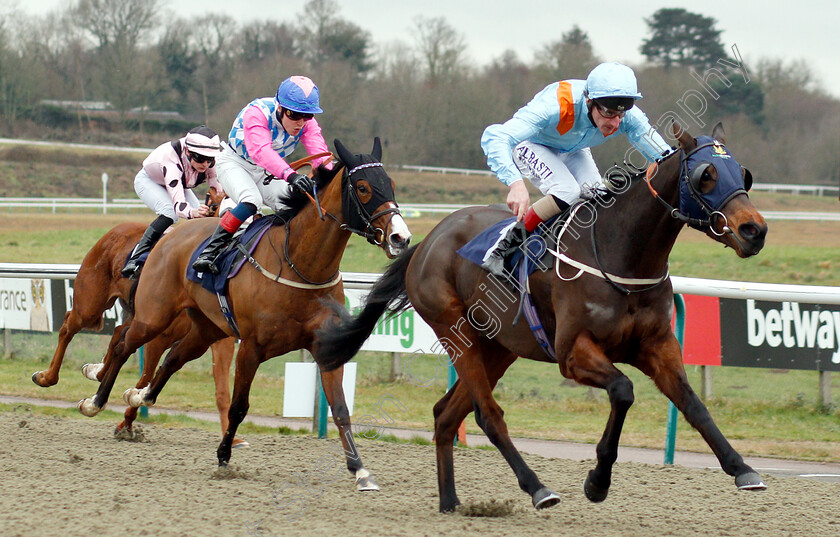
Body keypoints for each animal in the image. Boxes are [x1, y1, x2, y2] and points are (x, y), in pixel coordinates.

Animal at [34, 186, 244, 446]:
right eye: (221, 206)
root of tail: (116, 230)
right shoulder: (159, 336)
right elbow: (145, 377)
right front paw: (125, 421)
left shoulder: (216, 338)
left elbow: (222, 390)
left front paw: (232, 439)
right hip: (91, 303)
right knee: (69, 325)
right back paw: (47, 376)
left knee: (117, 333)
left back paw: (96, 370)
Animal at [77, 138, 412, 490]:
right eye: (362, 187)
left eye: (389, 184)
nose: (400, 237)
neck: (301, 265)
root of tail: (170, 237)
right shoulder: (251, 348)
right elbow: (239, 406)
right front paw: (224, 456)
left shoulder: (324, 348)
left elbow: (341, 409)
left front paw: (360, 470)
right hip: (154, 316)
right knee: (123, 343)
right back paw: (94, 399)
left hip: (206, 328)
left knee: (172, 358)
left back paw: (137, 395)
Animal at [318, 122, 772, 510]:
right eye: (707, 175)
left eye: (743, 175)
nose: (754, 230)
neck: (621, 253)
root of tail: (426, 241)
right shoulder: (573, 353)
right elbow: (623, 391)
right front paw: (597, 480)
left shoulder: (658, 346)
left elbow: (694, 405)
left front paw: (742, 469)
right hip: (455, 332)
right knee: (488, 415)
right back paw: (537, 488)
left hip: (497, 347)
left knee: (446, 415)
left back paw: (450, 502)